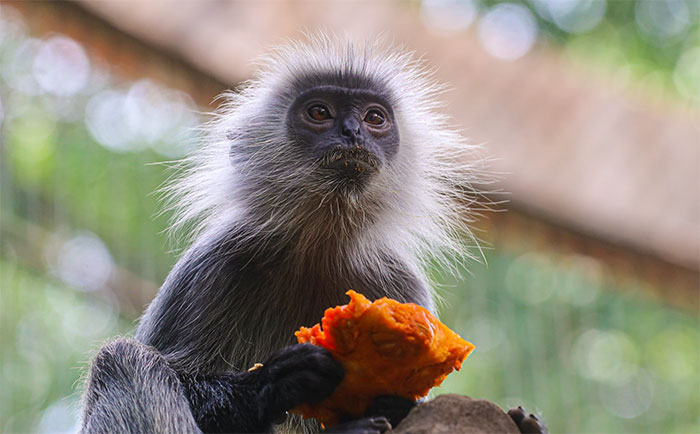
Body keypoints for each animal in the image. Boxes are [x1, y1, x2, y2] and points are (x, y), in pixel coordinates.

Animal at [79, 34, 544, 434]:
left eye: (374, 118)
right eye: (320, 112)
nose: (352, 131)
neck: (318, 248)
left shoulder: (399, 284)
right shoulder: (214, 264)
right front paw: (271, 385)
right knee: (121, 359)